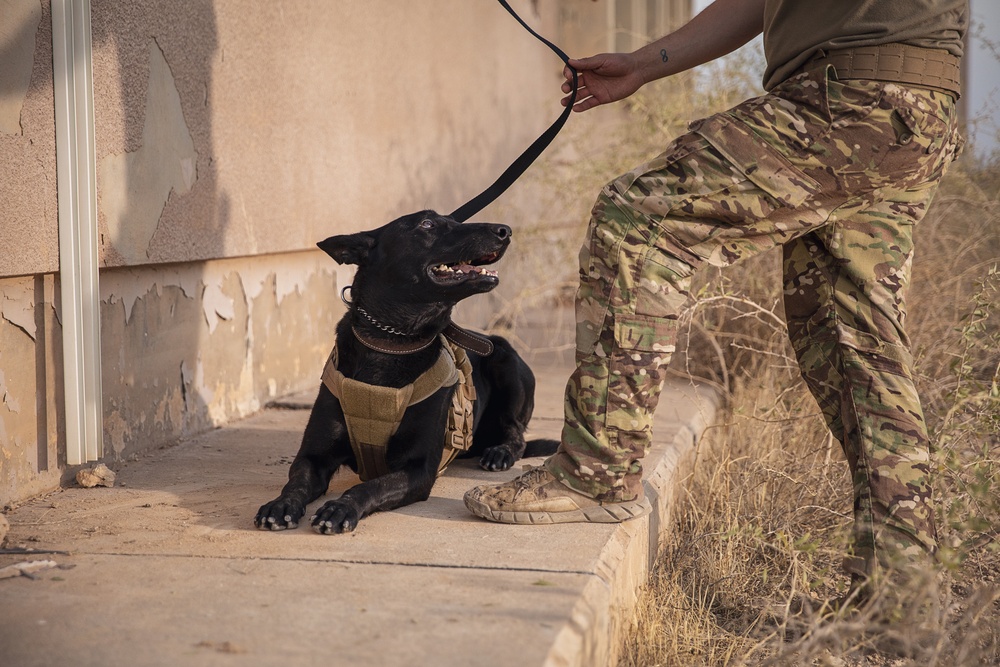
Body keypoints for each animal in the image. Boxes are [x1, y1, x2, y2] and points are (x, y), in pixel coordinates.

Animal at [254, 211, 560, 536]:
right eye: (427, 224)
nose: (505, 230)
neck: (391, 343)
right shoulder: (313, 457)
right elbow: (296, 481)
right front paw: (281, 504)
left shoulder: (418, 470)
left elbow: (368, 487)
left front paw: (340, 507)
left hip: (506, 359)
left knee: (516, 432)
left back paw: (499, 452)